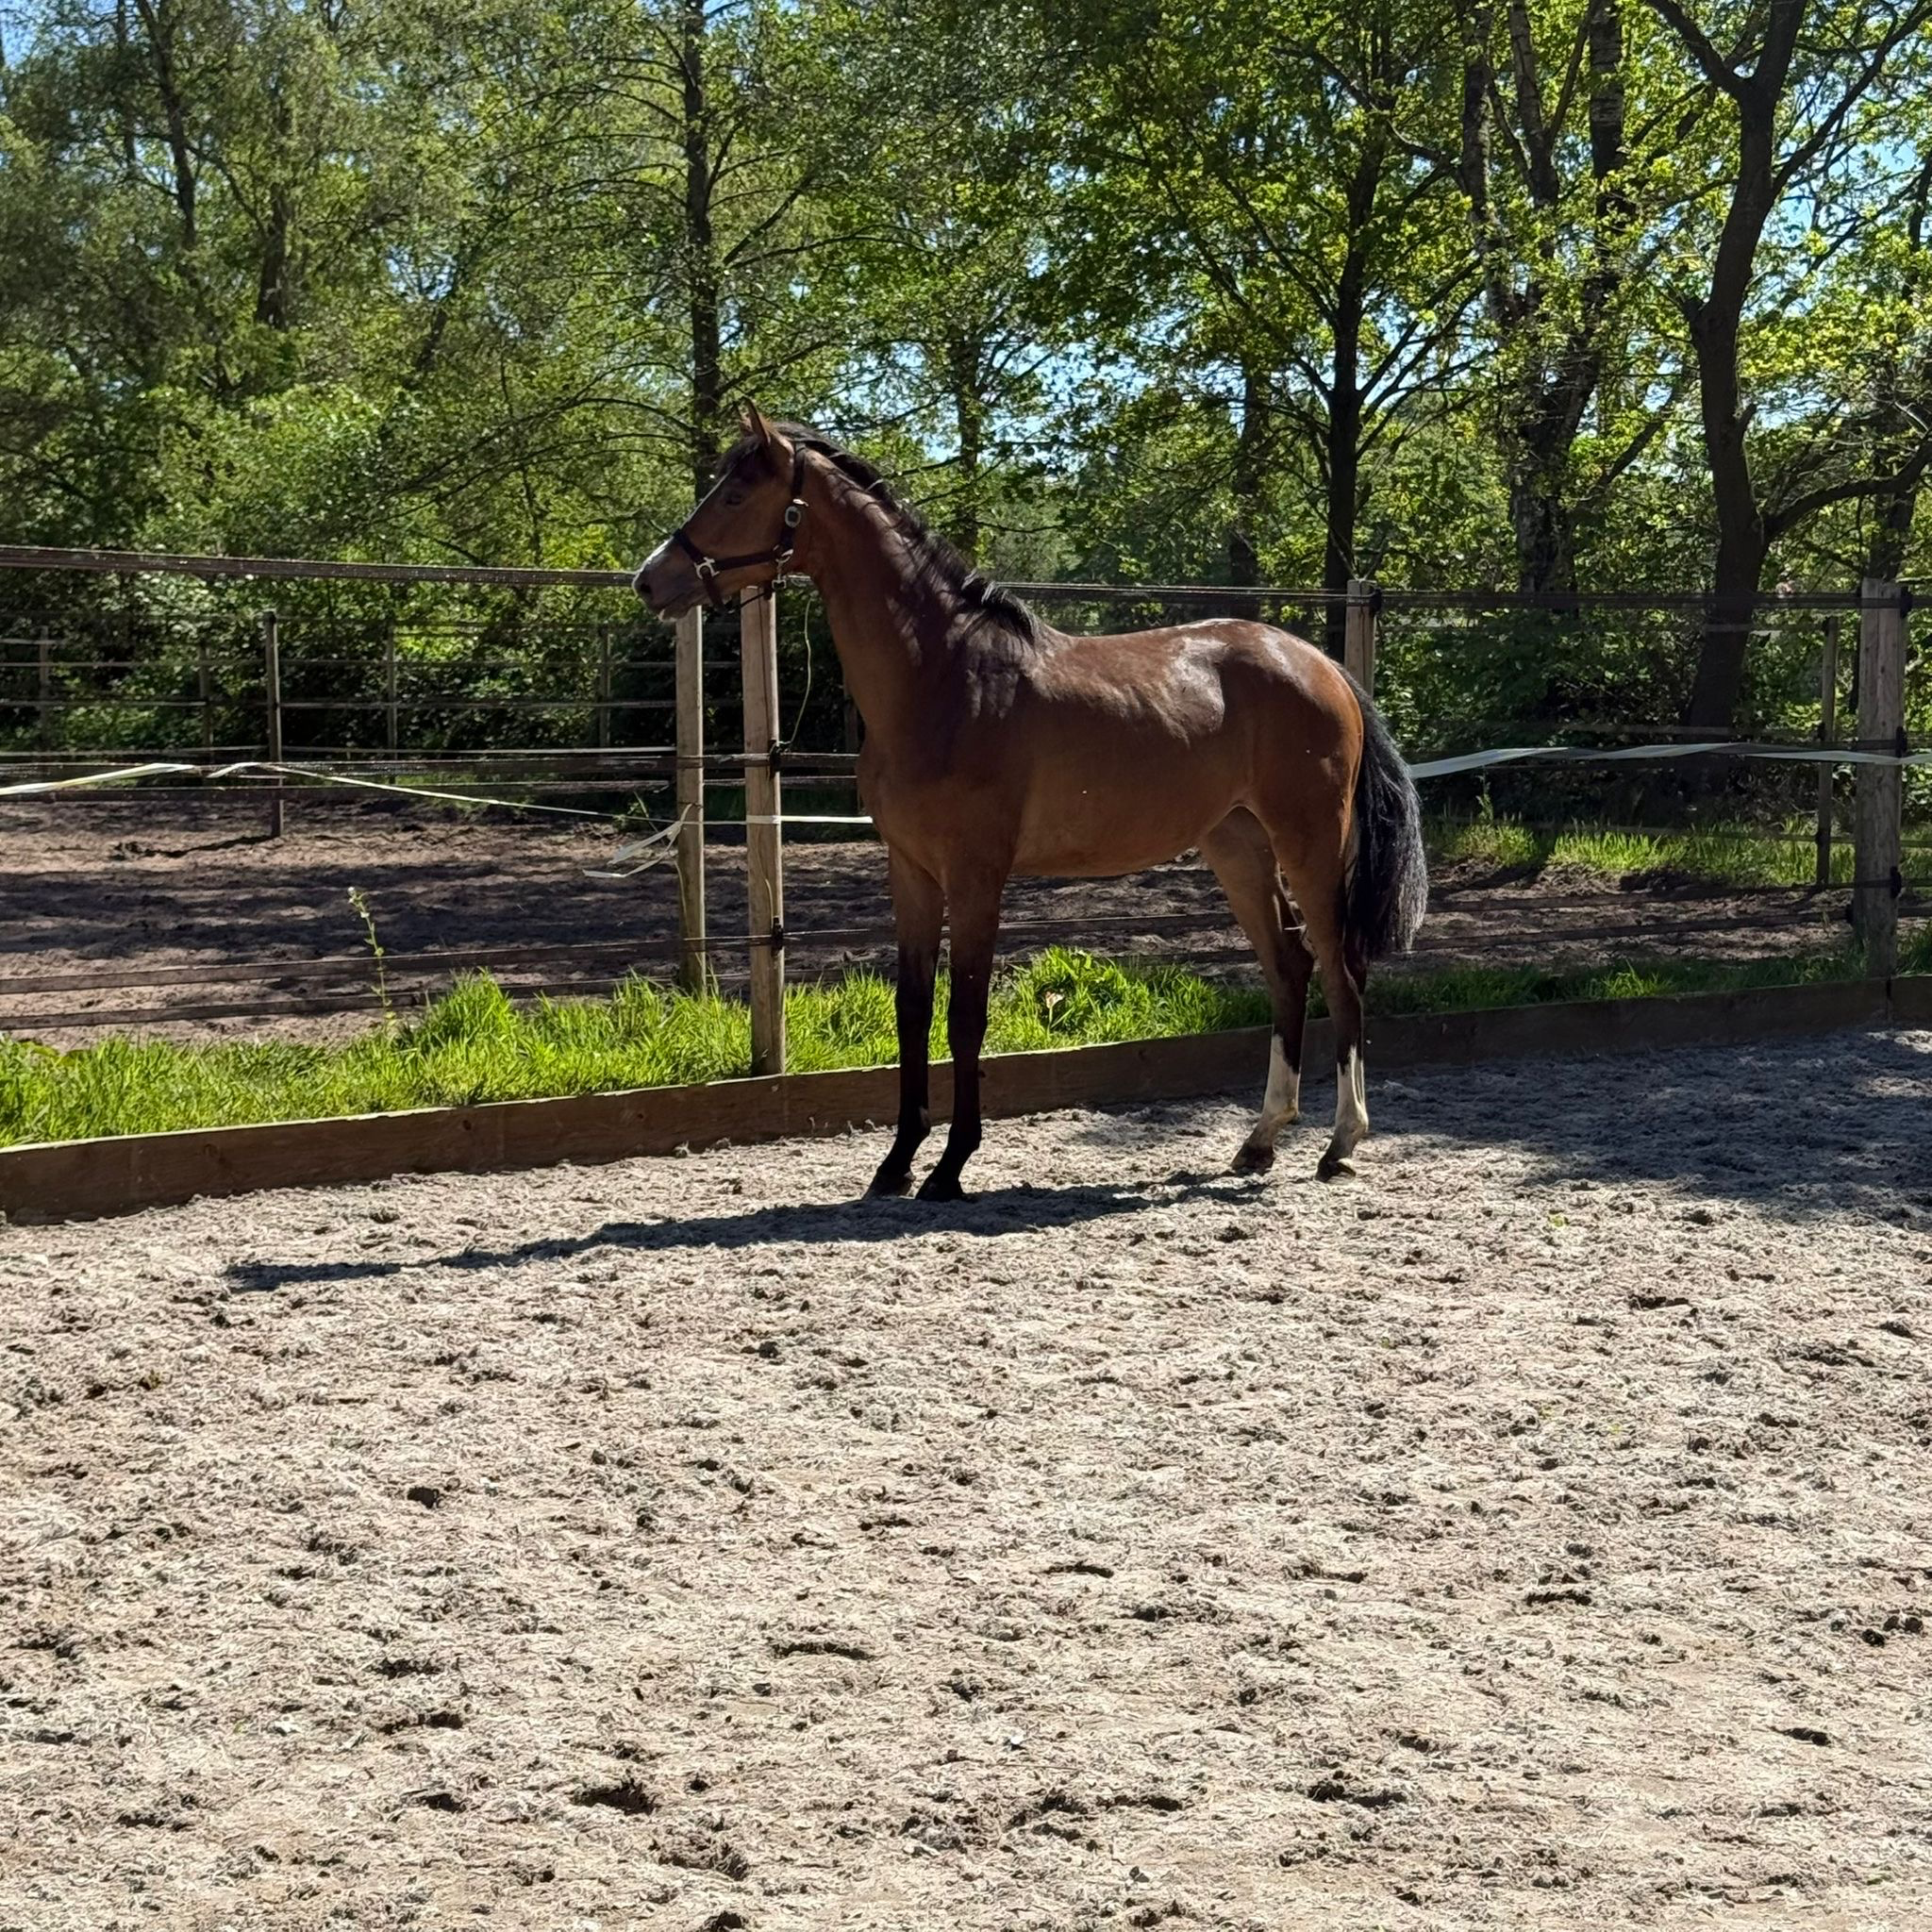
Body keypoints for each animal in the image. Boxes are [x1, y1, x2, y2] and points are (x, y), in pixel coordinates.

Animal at [634, 404, 1426, 1201]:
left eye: (737, 493)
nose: (650, 580)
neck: (944, 678)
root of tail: (1320, 665)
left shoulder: (976, 875)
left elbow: (966, 1013)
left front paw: (951, 1164)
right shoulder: (910, 870)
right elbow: (913, 1009)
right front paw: (897, 1160)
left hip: (1310, 844)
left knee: (1341, 971)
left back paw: (1341, 1143)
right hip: (1237, 846)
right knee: (1289, 968)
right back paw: (1259, 1141)